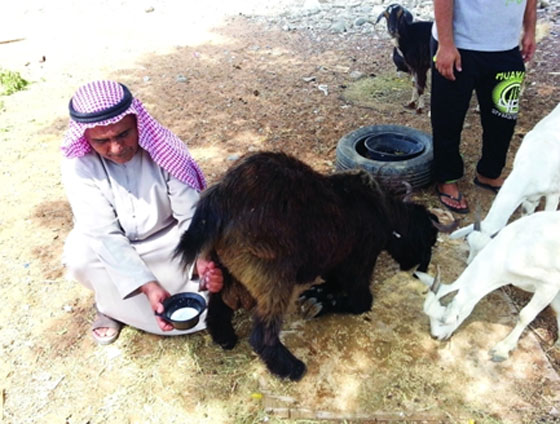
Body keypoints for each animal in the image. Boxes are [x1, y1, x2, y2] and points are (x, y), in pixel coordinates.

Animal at [174, 151, 451, 381]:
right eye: (429, 237)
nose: (418, 268)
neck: (380, 208)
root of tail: (223, 198)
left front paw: (318, 295)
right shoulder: (360, 262)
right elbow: (360, 302)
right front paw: (320, 302)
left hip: (223, 266)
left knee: (218, 303)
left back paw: (224, 336)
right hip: (273, 276)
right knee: (261, 333)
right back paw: (290, 367)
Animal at [415, 210, 560, 362]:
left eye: (443, 321)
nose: (435, 336)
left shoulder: (549, 284)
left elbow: (525, 315)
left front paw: (502, 350)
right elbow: (558, 310)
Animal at [450, 103, 560, 264]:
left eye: (487, 250)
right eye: (468, 242)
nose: (469, 264)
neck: (535, 161)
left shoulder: (554, 193)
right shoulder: (529, 197)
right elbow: (526, 214)